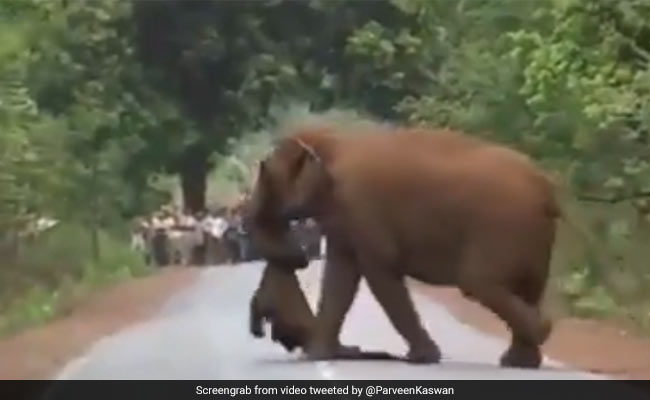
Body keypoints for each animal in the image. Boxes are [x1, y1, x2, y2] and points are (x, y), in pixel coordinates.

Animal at [246, 122, 560, 368]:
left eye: (265, 173)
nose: (298, 257)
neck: (334, 139)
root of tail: (546, 187)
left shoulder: (362, 207)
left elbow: (379, 273)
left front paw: (423, 359)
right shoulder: (345, 217)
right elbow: (341, 275)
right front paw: (319, 355)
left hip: (502, 229)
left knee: (477, 282)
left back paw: (541, 332)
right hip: (532, 237)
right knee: (529, 287)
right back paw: (520, 361)